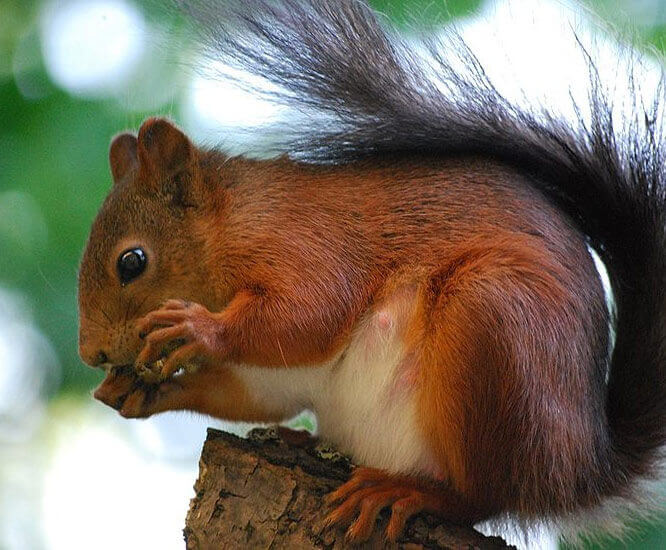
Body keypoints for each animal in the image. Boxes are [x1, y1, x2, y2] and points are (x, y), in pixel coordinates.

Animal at [78, 0, 666, 544]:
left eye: (132, 262)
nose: (91, 354)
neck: (234, 221)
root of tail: (581, 469)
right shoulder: (274, 375)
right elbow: (254, 394)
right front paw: (136, 392)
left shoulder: (308, 243)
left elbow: (312, 312)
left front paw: (198, 328)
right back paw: (303, 442)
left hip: (493, 327)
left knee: (486, 494)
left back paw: (409, 491)